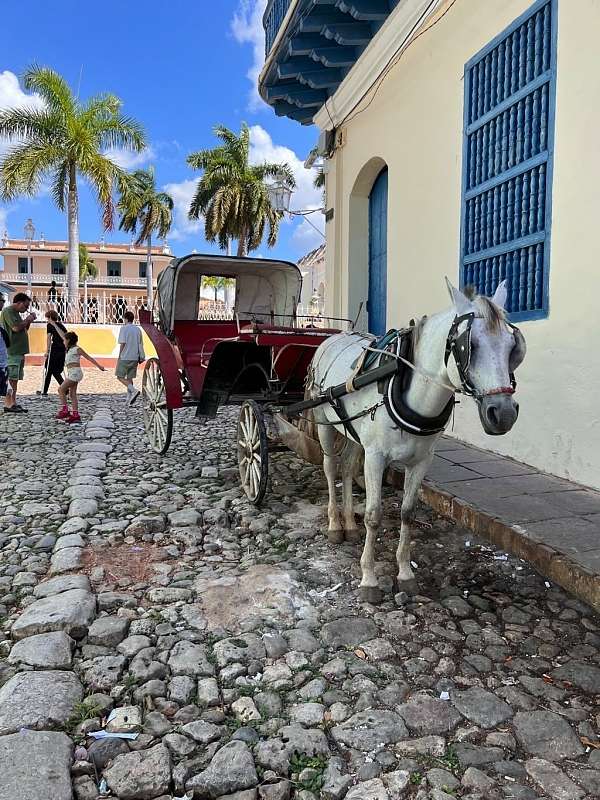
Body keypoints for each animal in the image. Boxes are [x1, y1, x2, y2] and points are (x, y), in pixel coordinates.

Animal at [310, 280, 524, 600]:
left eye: (513, 348)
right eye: (469, 346)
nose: (504, 413)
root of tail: (334, 337)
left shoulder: (422, 461)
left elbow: (408, 513)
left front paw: (405, 574)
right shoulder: (376, 457)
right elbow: (374, 515)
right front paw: (369, 579)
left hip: (354, 434)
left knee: (347, 468)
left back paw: (349, 524)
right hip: (324, 422)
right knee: (330, 467)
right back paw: (336, 525)